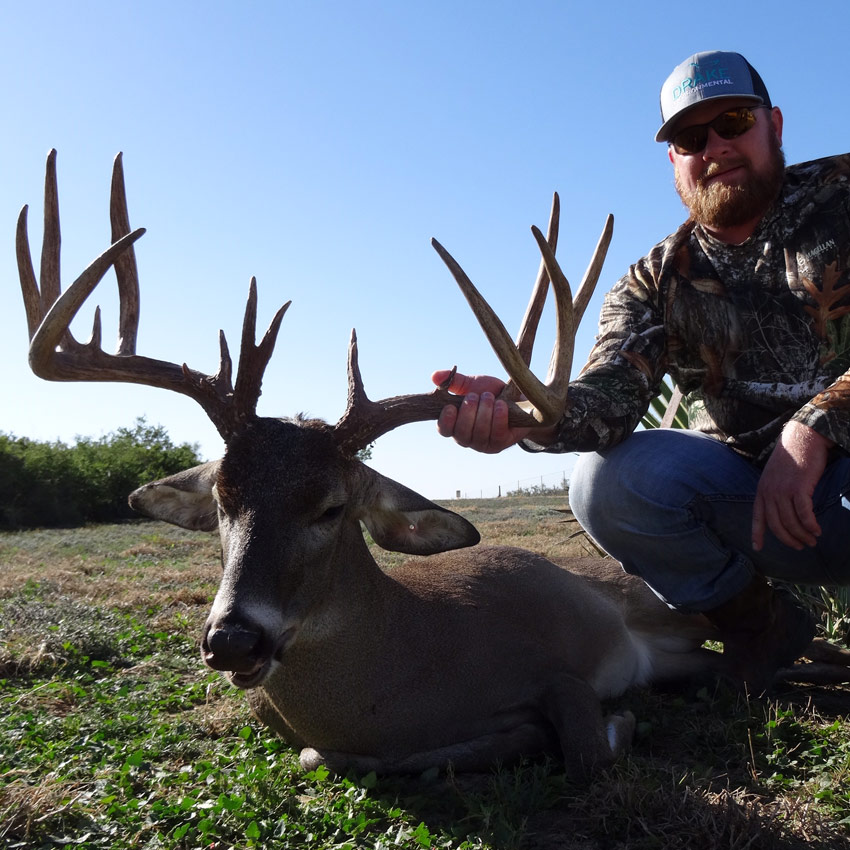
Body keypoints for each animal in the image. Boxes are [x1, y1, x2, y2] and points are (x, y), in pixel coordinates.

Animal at [17, 151, 850, 781]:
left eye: (332, 507)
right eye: (222, 498)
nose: (233, 640)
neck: (403, 673)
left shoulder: (561, 666)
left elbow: (586, 750)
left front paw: (600, 729)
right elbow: (321, 756)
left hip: (660, 604)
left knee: (794, 643)